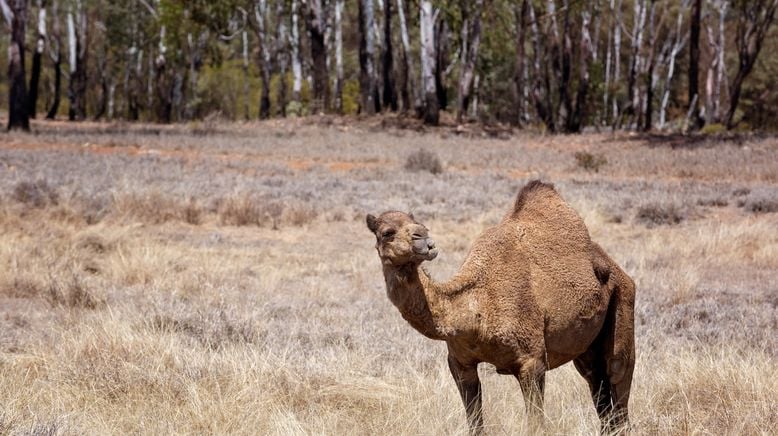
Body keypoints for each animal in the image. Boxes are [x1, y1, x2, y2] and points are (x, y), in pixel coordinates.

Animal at [364, 180, 632, 432]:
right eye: (387, 232)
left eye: (423, 227)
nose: (426, 242)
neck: (476, 310)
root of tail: (616, 268)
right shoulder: (460, 364)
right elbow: (475, 422)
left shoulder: (532, 361)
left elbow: (536, 424)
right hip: (587, 349)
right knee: (598, 387)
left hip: (624, 301)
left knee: (618, 378)